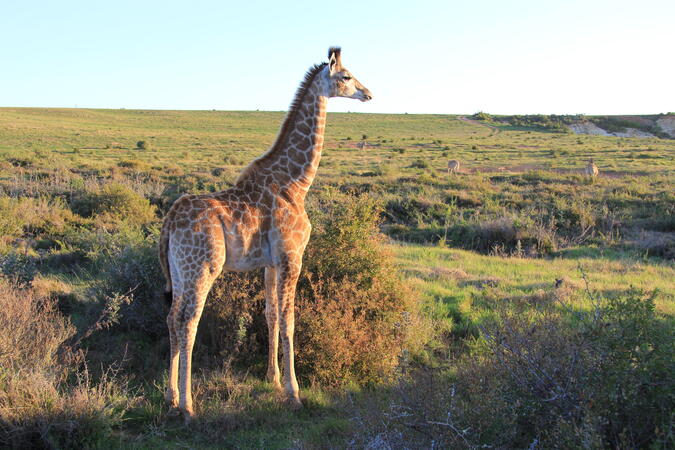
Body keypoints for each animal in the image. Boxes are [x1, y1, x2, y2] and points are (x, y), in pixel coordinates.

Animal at [158, 47, 372, 420]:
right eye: (346, 76)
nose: (369, 93)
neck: (296, 183)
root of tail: (169, 220)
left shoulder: (270, 263)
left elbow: (271, 315)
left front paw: (272, 378)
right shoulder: (292, 257)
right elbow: (289, 320)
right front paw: (294, 392)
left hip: (180, 269)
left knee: (172, 318)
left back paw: (171, 396)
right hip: (202, 267)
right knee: (188, 322)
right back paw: (188, 405)